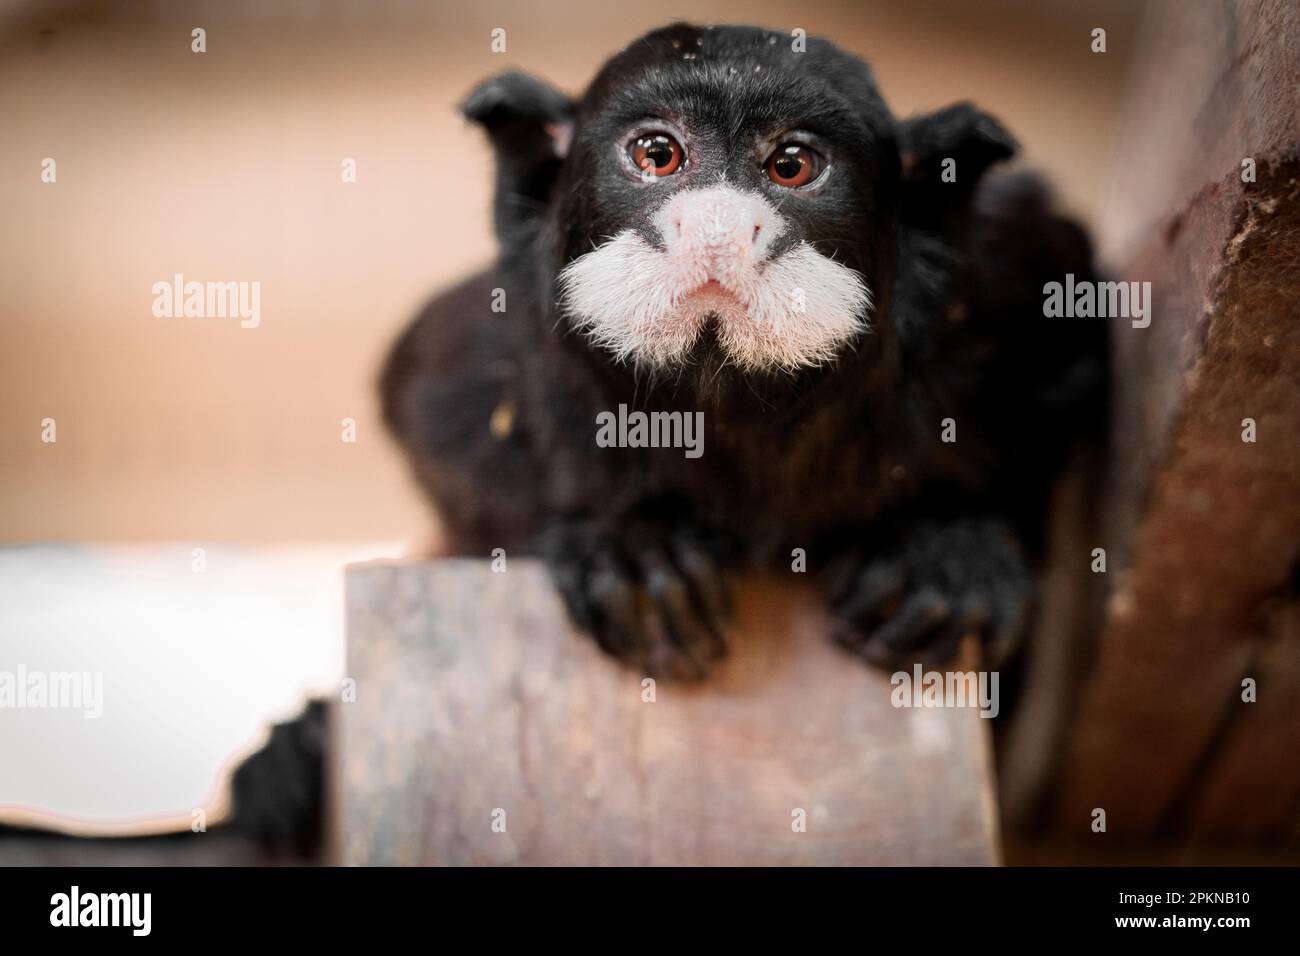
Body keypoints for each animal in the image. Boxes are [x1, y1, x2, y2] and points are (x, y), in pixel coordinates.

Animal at [379, 22, 1107, 681]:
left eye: (790, 166)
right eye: (658, 155)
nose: (718, 227)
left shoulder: (1011, 298)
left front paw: (940, 545)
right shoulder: (482, 359)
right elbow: (430, 418)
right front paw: (629, 541)